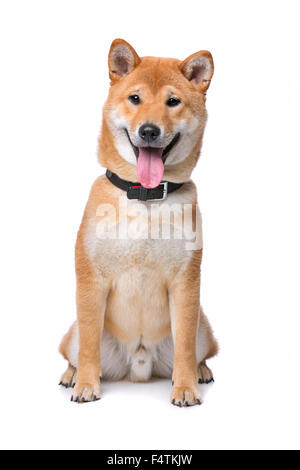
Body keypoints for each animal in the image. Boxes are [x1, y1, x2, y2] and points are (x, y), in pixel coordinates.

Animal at [59, 38, 218, 406]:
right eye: (135, 98)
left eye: (172, 102)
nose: (148, 130)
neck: (144, 197)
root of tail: (139, 366)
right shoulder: (91, 280)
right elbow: (88, 343)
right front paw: (86, 384)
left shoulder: (186, 284)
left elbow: (185, 346)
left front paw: (185, 387)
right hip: (72, 332)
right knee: (73, 350)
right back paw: (70, 375)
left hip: (204, 328)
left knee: (201, 351)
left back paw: (201, 372)